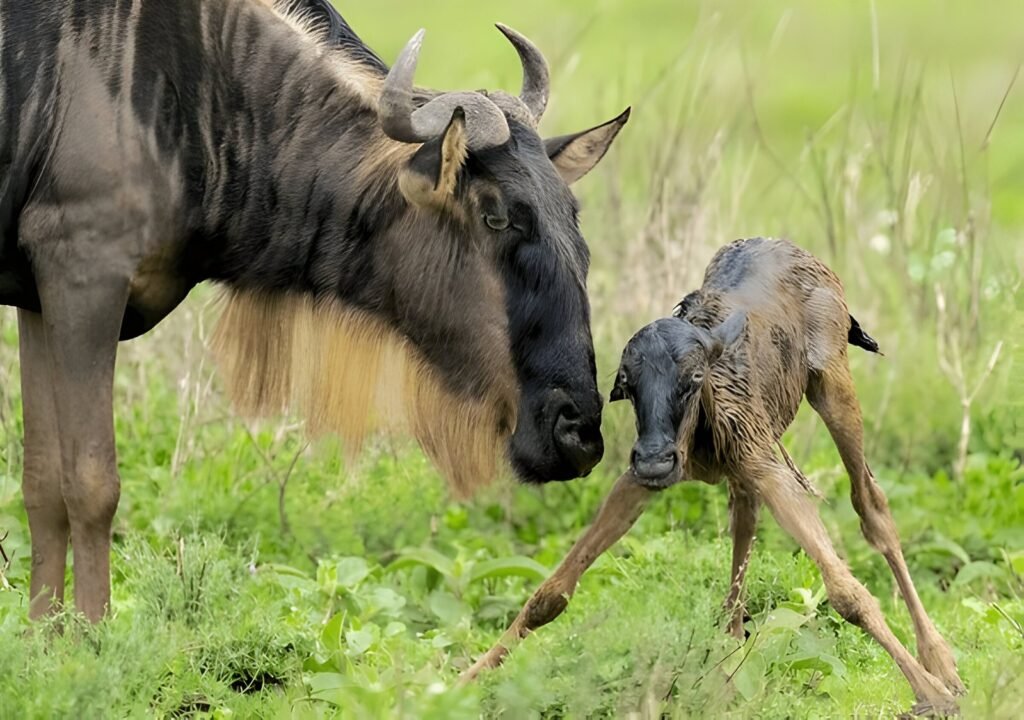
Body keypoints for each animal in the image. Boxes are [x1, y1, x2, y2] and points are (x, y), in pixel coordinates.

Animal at [466, 239, 966, 716]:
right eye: (626, 384)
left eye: (693, 378)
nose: (655, 460)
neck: (700, 433)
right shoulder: (642, 479)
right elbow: (552, 591)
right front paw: (467, 678)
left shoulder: (764, 461)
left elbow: (847, 591)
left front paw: (934, 692)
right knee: (745, 521)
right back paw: (728, 664)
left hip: (832, 384)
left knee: (871, 505)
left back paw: (940, 659)